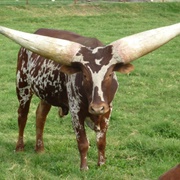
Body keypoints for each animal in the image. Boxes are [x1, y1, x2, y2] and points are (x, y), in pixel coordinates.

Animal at [0, 23, 179, 169]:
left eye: (110, 74)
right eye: (84, 75)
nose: (97, 107)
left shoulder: (108, 111)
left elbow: (101, 141)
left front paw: (101, 164)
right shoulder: (76, 111)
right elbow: (83, 142)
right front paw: (84, 168)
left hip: (46, 93)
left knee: (40, 115)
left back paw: (40, 149)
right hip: (22, 86)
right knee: (22, 116)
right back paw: (19, 147)